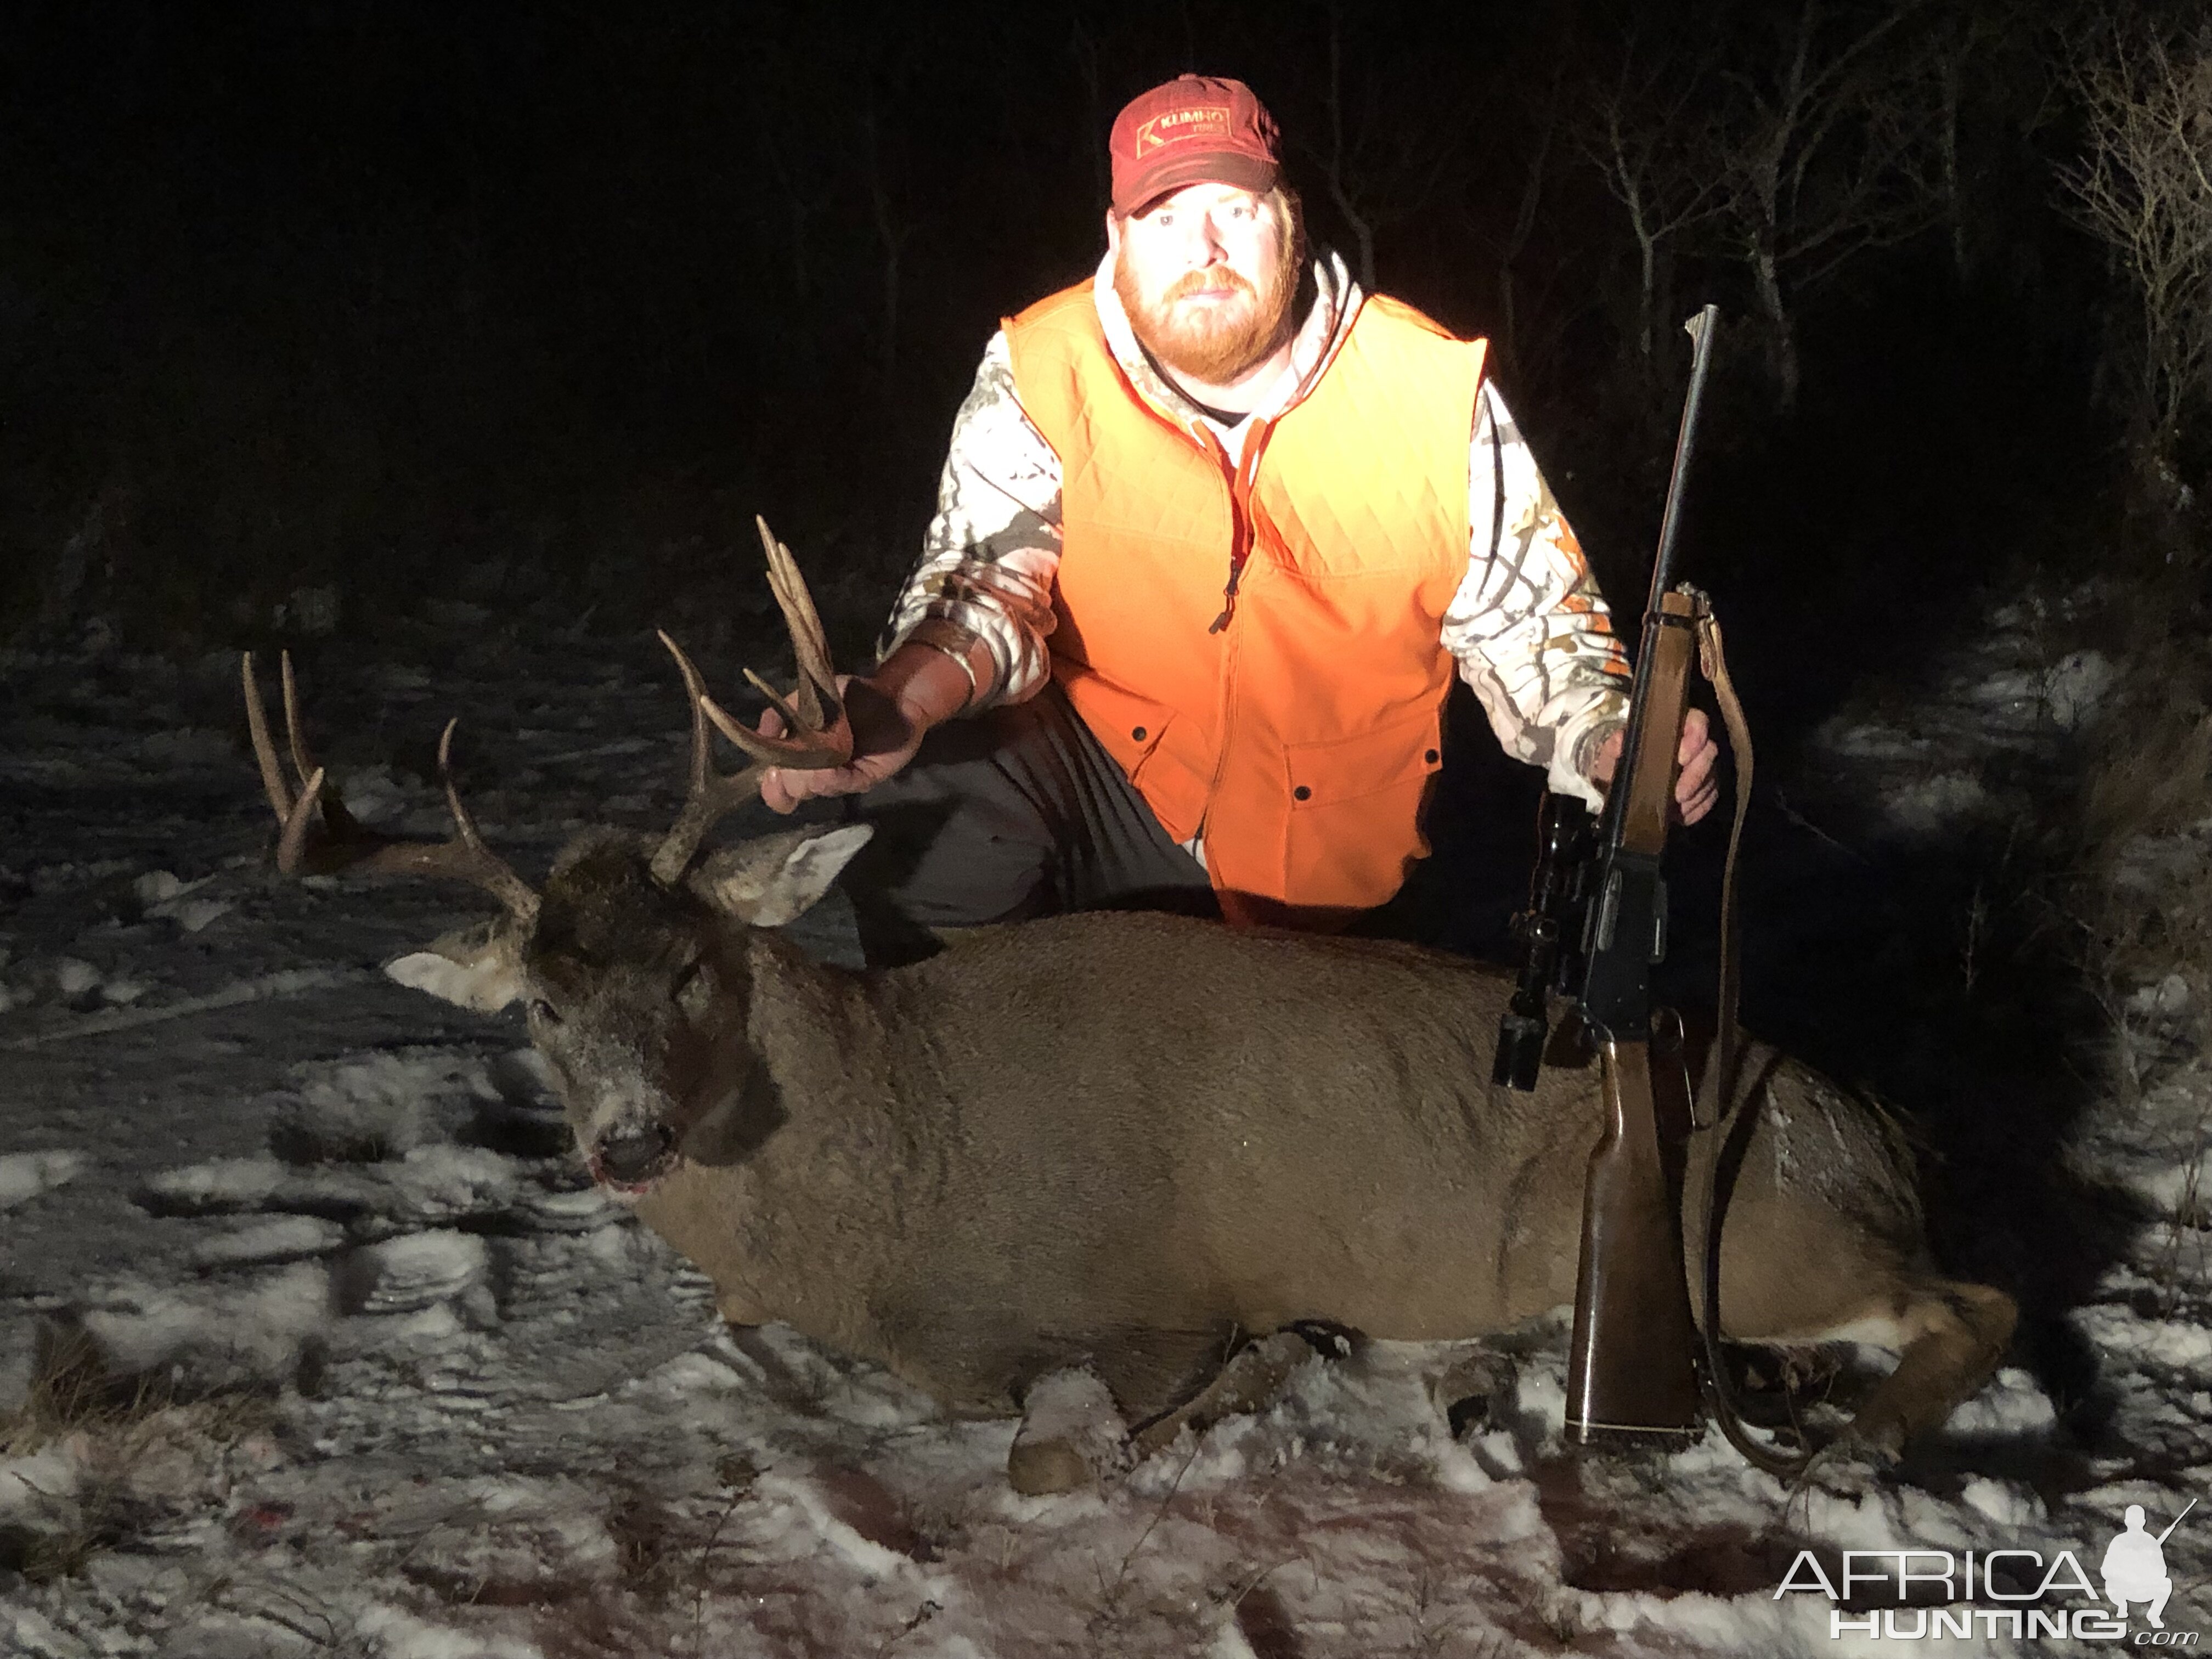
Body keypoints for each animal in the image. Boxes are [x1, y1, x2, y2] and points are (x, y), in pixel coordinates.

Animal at [251, 520, 2017, 1495]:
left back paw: (1848, 1449)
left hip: (1775, 1236)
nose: (627, 1142)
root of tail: (1890, 1135)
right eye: (542, 1009)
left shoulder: (1147, 1300)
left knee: (1975, 1303)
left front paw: (1269, 1372)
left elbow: (1056, 1453)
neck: (898, 1174)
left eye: (694, 966)